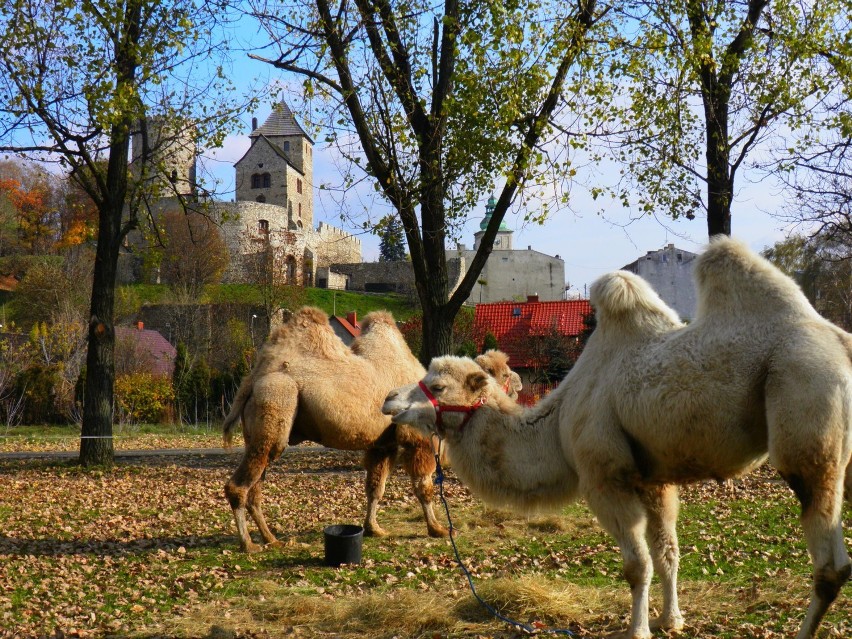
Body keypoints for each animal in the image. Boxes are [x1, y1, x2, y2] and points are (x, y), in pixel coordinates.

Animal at [382, 238, 848, 639]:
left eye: (437, 385)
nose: (389, 399)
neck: (557, 424)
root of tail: (841, 345)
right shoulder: (655, 480)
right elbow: (667, 553)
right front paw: (671, 620)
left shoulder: (605, 477)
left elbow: (637, 565)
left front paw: (638, 629)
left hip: (806, 410)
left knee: (830, 564)